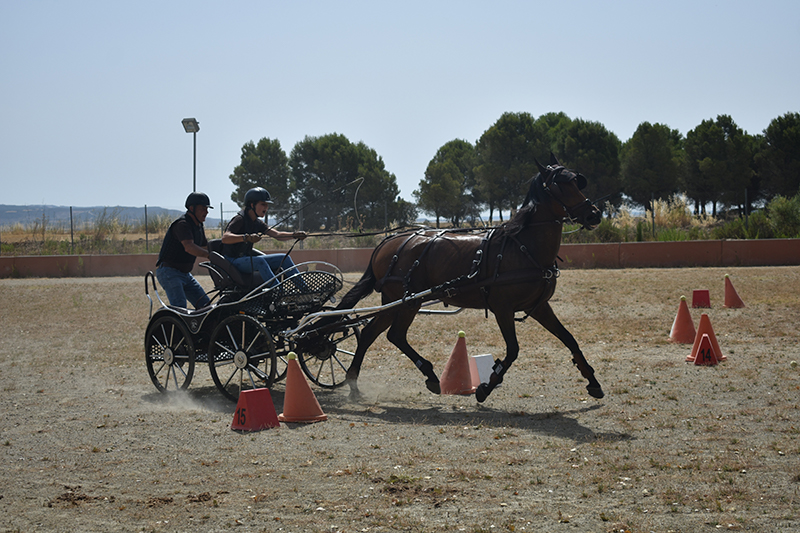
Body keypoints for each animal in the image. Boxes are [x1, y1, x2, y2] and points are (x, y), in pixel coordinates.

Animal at [334, 154, 604, 404]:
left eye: (577, 182)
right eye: (560, 185)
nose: (594, 215)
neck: (522, 247)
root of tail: (387, 242)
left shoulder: (539, 307)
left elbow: (569, 339)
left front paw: (593, 381)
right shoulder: (503, 308)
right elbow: (513, 351)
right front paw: (485, 388)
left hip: (396, 301)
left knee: (372, 333)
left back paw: (356, 383)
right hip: (408, 301)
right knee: (394, 335)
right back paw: (427, 375)